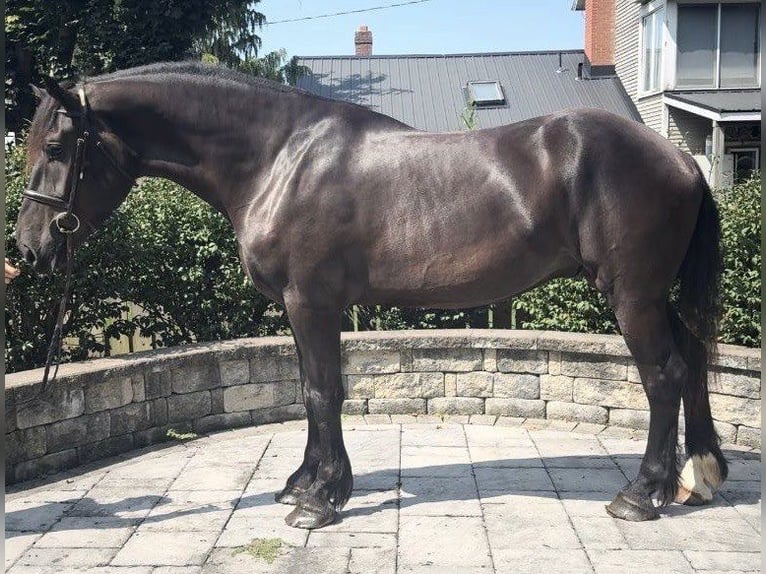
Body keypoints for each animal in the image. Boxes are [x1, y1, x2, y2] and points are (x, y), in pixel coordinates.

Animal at [15, 64, 728, 532]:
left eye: (55, 146)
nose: (28, 249)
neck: (279, 159)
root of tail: (681, 161)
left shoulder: (311, 302)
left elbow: (322, 391)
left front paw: (320, 501)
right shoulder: (302, 308)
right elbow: (308, 389)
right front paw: (306, 483)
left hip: (631, 295)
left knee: (664, 375)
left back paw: (642, 495)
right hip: (652, 295)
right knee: (692, 361)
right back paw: (700, 477)